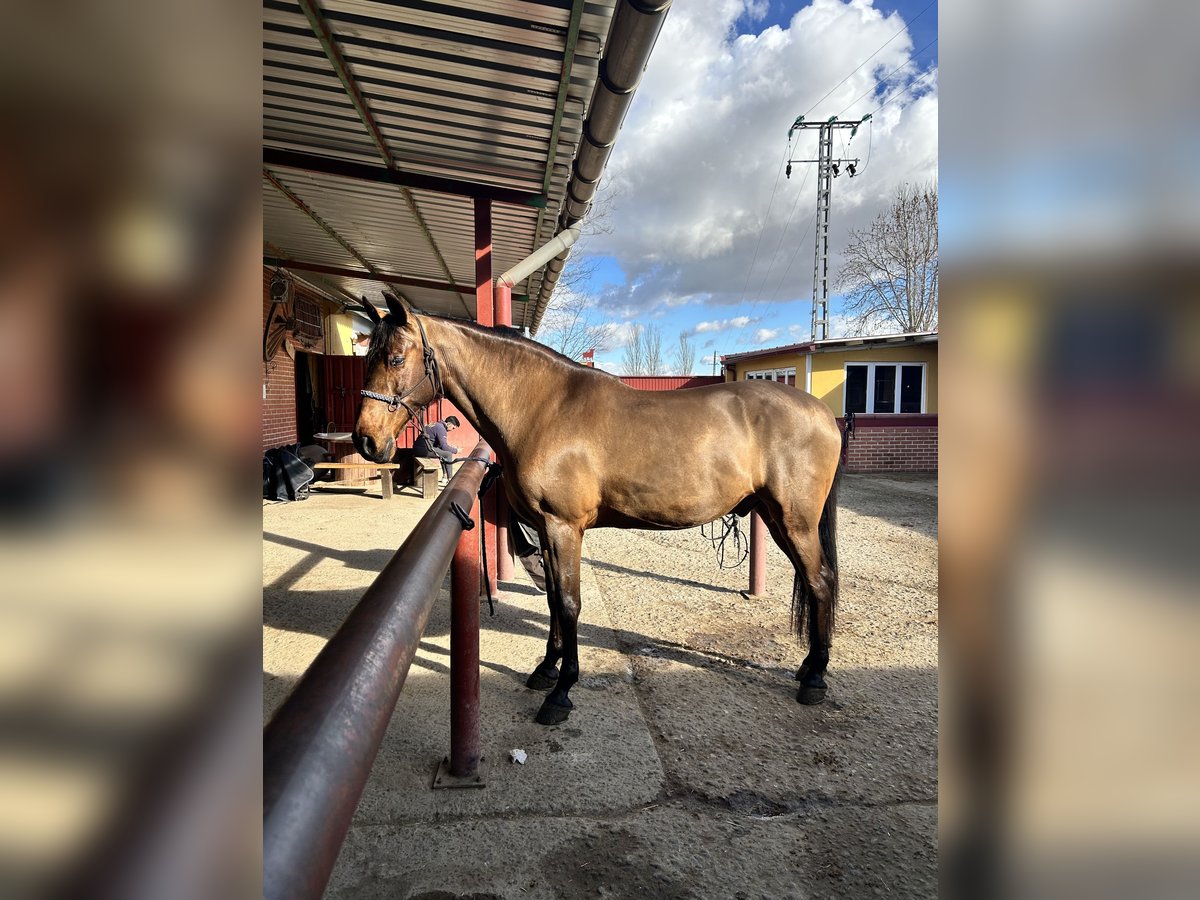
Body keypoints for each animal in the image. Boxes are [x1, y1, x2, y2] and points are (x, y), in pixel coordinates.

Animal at [352, 294, 844, 724]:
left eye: (394, 358)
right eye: (368, 356)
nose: (366, 441)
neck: (542, 408)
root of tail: (823, 414)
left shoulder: (563, 527)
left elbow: (569, 603)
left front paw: (561, 692)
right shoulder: (545, 529)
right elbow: (552, 598)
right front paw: (546, 669)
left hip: (795, 522)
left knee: (820, 581)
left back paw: (815, 678)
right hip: (777, 519)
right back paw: (808, 668)